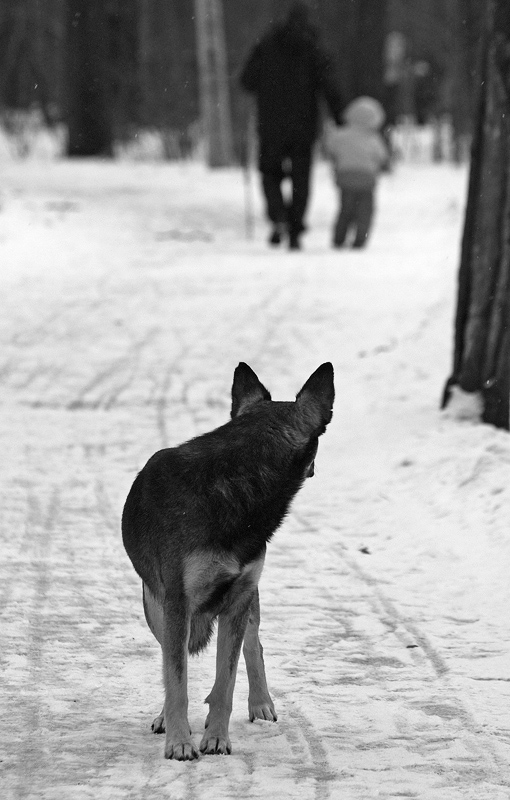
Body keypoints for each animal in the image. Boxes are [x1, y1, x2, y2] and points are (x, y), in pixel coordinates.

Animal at [121, 366, 332, 760]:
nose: (315, 470)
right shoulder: (177, 601)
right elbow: (177, 680)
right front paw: (180, 743)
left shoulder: (239, 594)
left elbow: (226, 681)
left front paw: (217, 738)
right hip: (155, 606)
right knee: (170, 661)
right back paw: (167, 720)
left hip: (247, 600)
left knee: (254, 645)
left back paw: (261, 703)